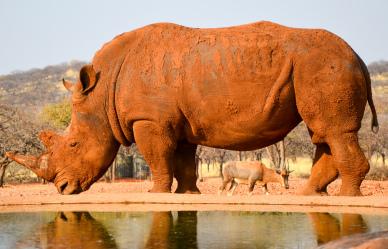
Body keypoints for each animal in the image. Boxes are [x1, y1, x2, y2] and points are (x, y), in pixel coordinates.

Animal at [6, 21, 378, 196]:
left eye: (73, 144)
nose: (63, 189)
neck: (103, 89)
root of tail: (359, 57)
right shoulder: (175, 122)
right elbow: (183, 160)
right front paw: (187, 193)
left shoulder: (149, 119)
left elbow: (157, 158)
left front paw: (155, 193)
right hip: (319, 68)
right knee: (324, 133)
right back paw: (309, 194)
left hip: (325, 66)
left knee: (335, 132)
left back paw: (345, 198)